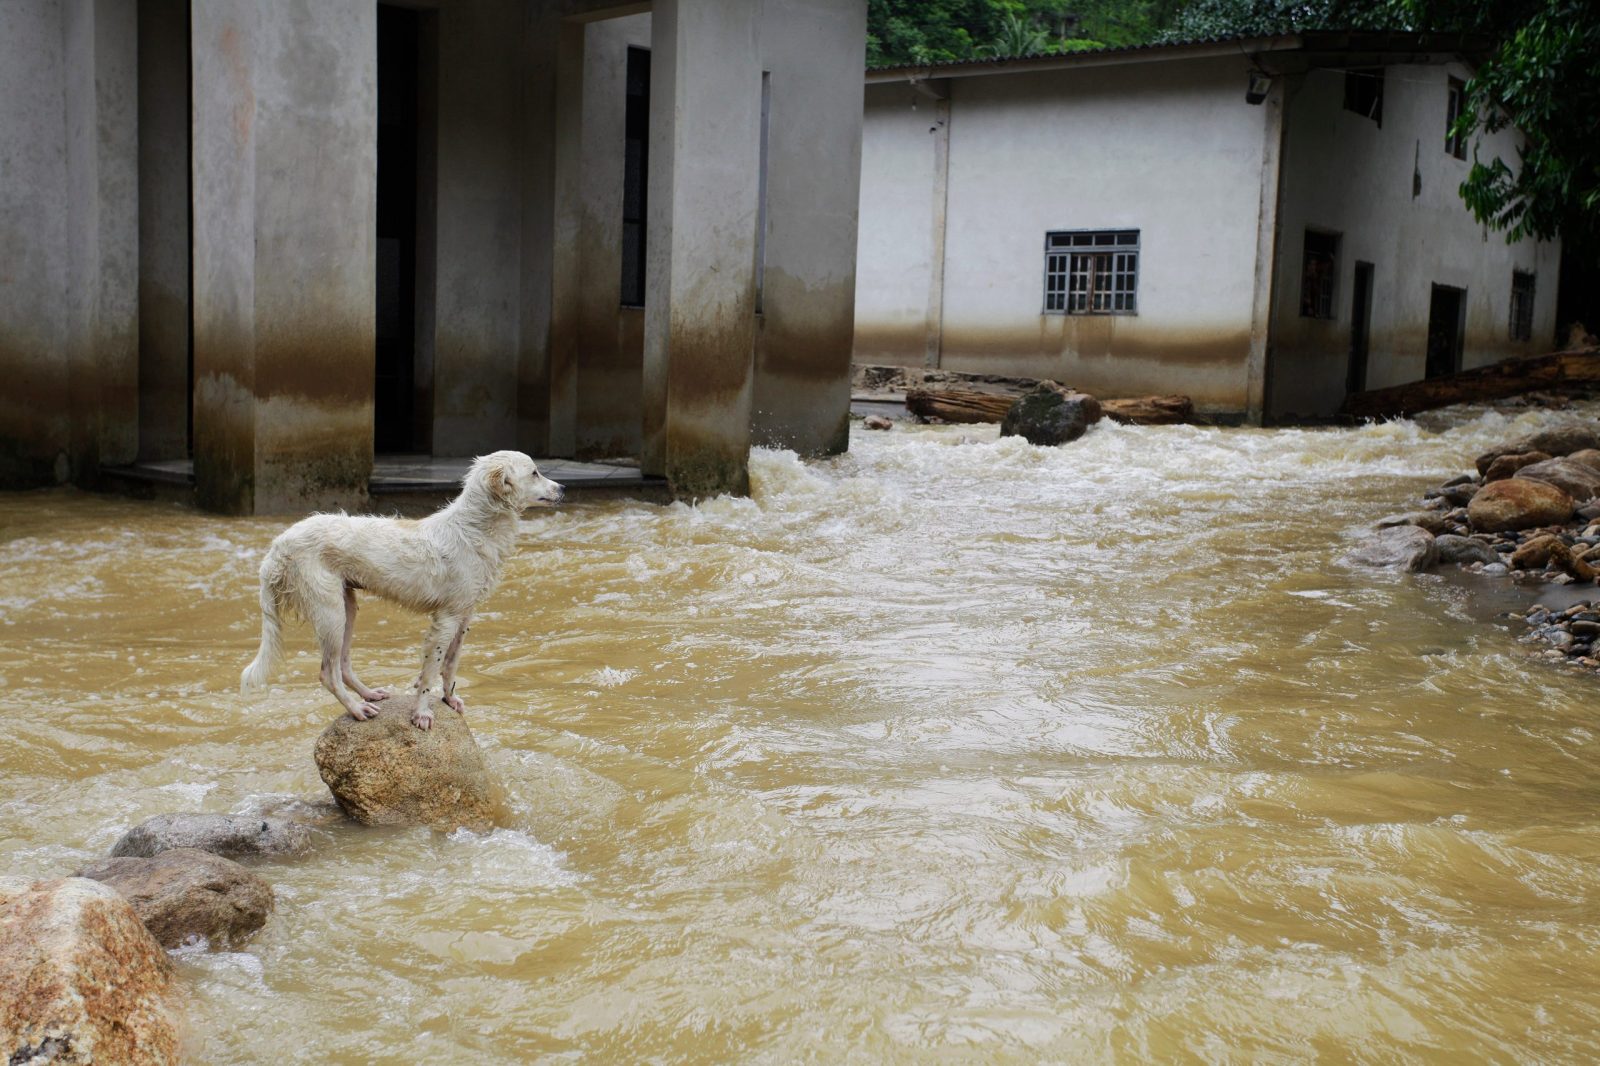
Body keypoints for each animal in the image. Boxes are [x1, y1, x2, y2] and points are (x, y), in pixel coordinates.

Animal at [236, 444, 563, 726]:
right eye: (535, 472)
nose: (563, 488)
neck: (474, 528)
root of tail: (280, 542)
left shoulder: (465, 615)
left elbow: (451, 664)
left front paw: (450, 699)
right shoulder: (446, 619)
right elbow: (430, 672)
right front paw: (421, 714)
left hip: (346, 607)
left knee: (343, 664)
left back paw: (368, 694)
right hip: (329, 611)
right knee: (328, 673)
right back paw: (357, 709)